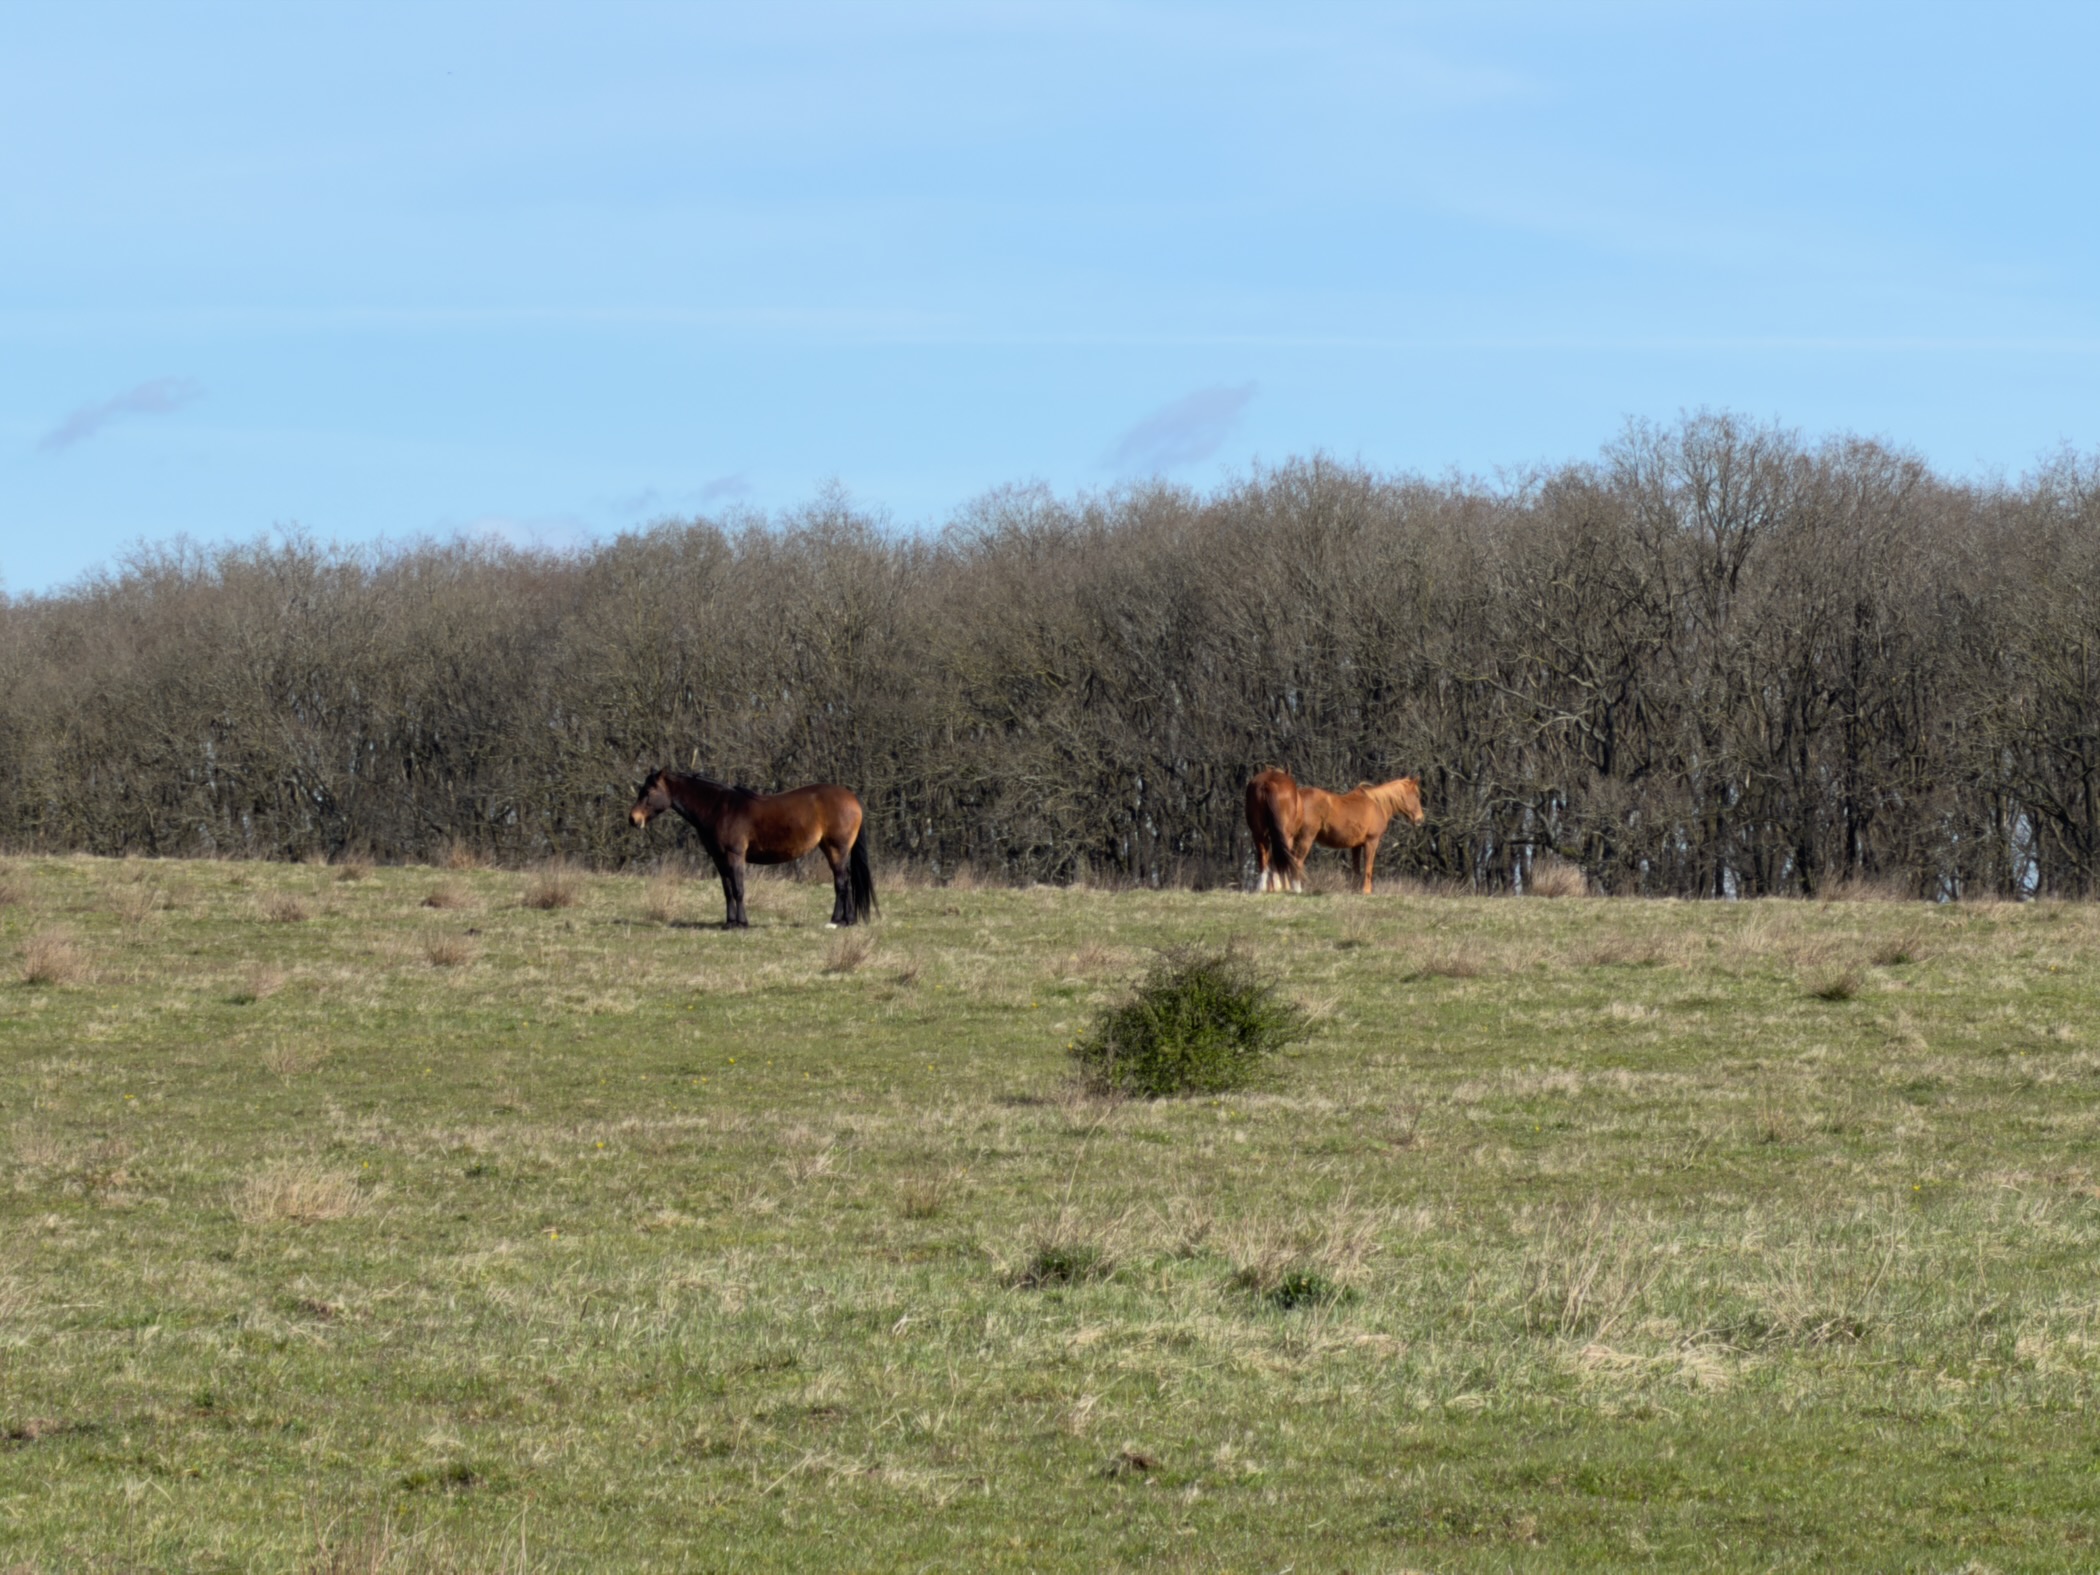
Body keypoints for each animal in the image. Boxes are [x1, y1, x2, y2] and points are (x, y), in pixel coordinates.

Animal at [629, 768, 877, 929]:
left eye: (648, 792)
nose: (633, 819)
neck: (719, 808)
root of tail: (852, 798)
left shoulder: (735, 855)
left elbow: (739, 888)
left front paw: (742, 923)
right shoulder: (719, 858)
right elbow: (727, 890)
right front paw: (729, 922)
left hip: (837, 849)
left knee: (842, 882)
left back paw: (839, 921)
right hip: (830, 848)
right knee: (844, 881)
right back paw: (844, 920)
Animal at [1246, 769, 1424, 894]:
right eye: (1416, 795)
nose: (1420, 819)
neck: (1376, 803)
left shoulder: (1355, 846)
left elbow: (1356, 868)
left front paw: (1355, 889)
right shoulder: (1371, 842)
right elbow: (1368, 867)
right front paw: (1366, 891)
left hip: (1265, 835)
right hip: (1301, 838)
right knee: (1295, 861)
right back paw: (1296, 889)